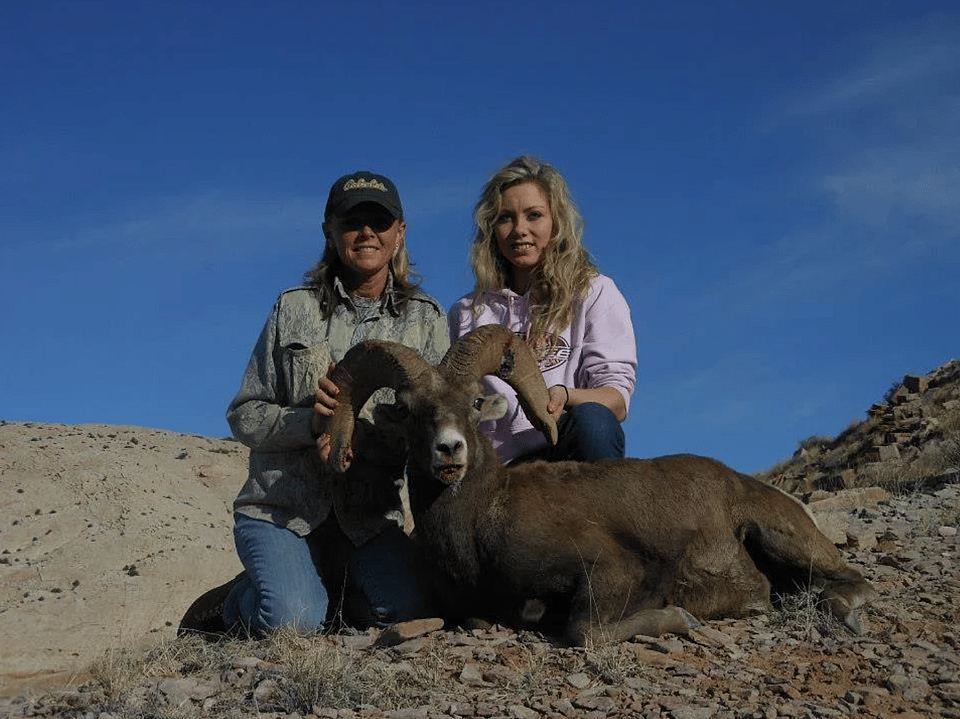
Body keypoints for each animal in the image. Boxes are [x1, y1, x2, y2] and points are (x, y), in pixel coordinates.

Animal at [325, 324, 877, 646]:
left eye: (474, 402)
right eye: (409, 411)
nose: (450, 450)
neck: (482, 523)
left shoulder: (609, 570)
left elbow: (583, 631)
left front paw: (681, 618)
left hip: (779, 537)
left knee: (851, 581)